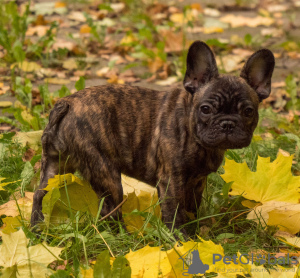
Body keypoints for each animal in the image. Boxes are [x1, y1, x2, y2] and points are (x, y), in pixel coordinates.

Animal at [30, 40, 274, 232]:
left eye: (248, 111)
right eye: (205, 109)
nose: (227, 123)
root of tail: (67, 104)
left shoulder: (197, 182)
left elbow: (192, 208)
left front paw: (195, 232)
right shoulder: (171, 181)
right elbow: (175, 212)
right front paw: (181, 239)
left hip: (54, 165)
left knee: (39, 194)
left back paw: (37, 229)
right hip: (105, 172)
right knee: (110, 210)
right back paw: (124, 237)